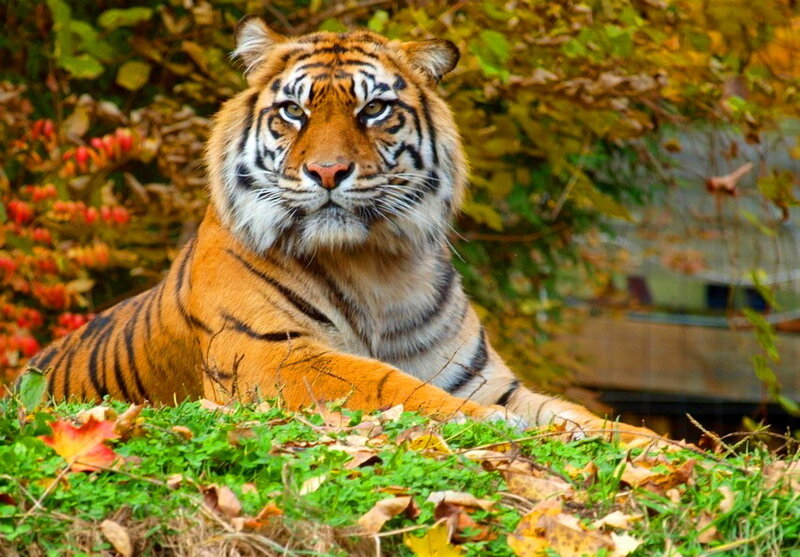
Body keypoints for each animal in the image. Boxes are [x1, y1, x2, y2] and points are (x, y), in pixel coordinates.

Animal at [25, 16, 656, 443]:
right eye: (294, 112)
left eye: (373, 110)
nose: (328, 171)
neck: (376, 266)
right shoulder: (270, 354)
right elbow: (385, 384)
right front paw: (497, 427)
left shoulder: (482, 377)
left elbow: (581, 415)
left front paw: (662, 448)